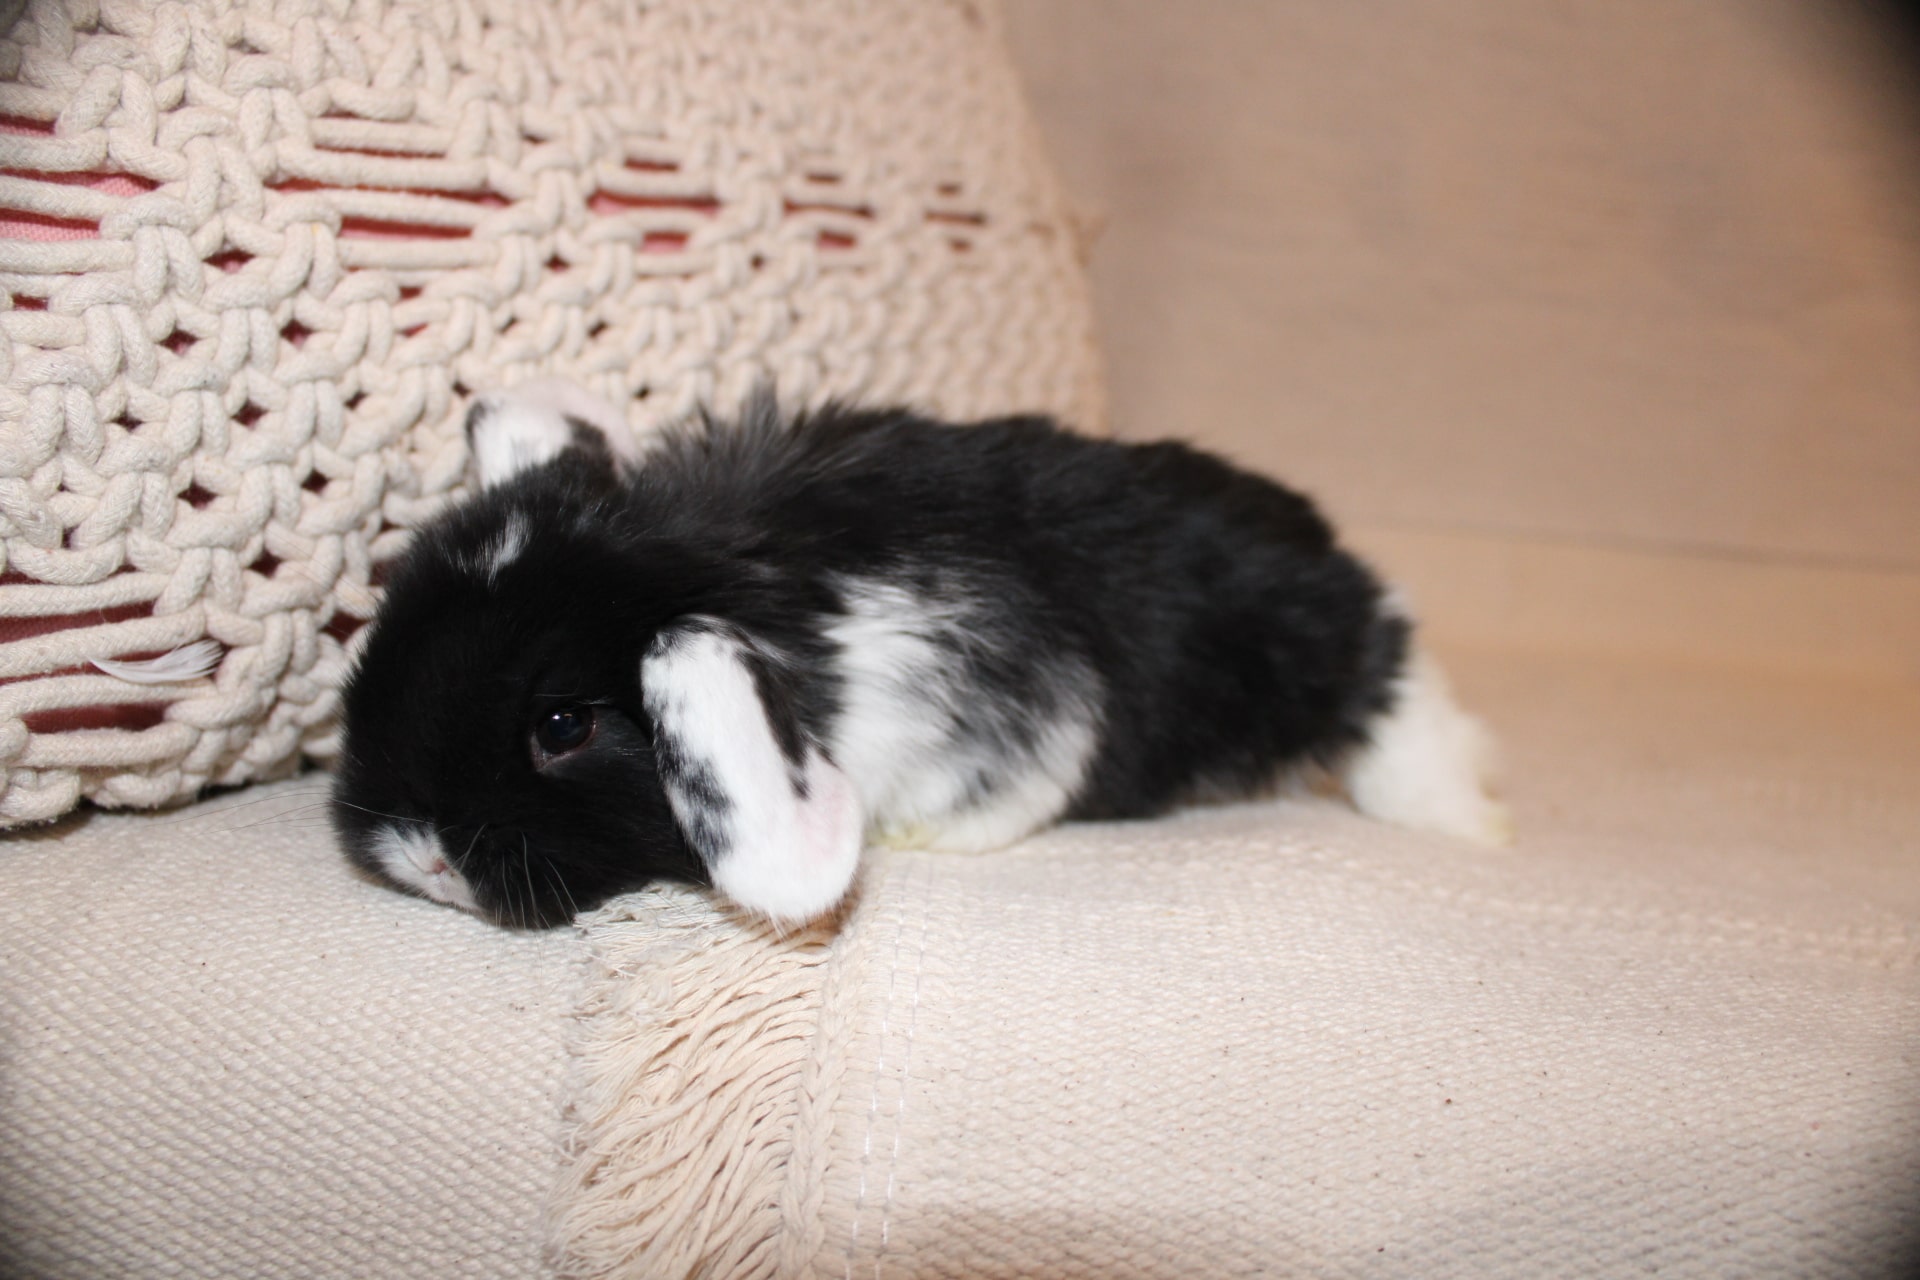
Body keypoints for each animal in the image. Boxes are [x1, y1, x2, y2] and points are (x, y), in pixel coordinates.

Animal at [330, 381, 1508, 928]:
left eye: (562, 724)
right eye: (383, 634)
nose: (419, 854)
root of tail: (1328, 555)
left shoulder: (1024, 706)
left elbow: (1019, 787)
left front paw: (923, 838)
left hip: (1335, 660)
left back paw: (1465, 816)